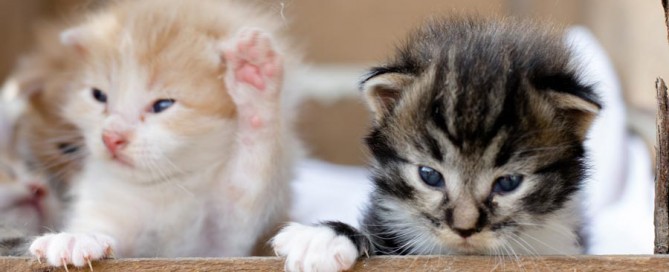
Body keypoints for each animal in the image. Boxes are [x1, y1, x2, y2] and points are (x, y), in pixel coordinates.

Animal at [28, 0, 298, 268]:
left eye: (162, 105)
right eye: (99, 95)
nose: (111, 138)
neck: (166, 184)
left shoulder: (223, 244)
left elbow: (250, 172)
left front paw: (255, 78)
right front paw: (76, 237)